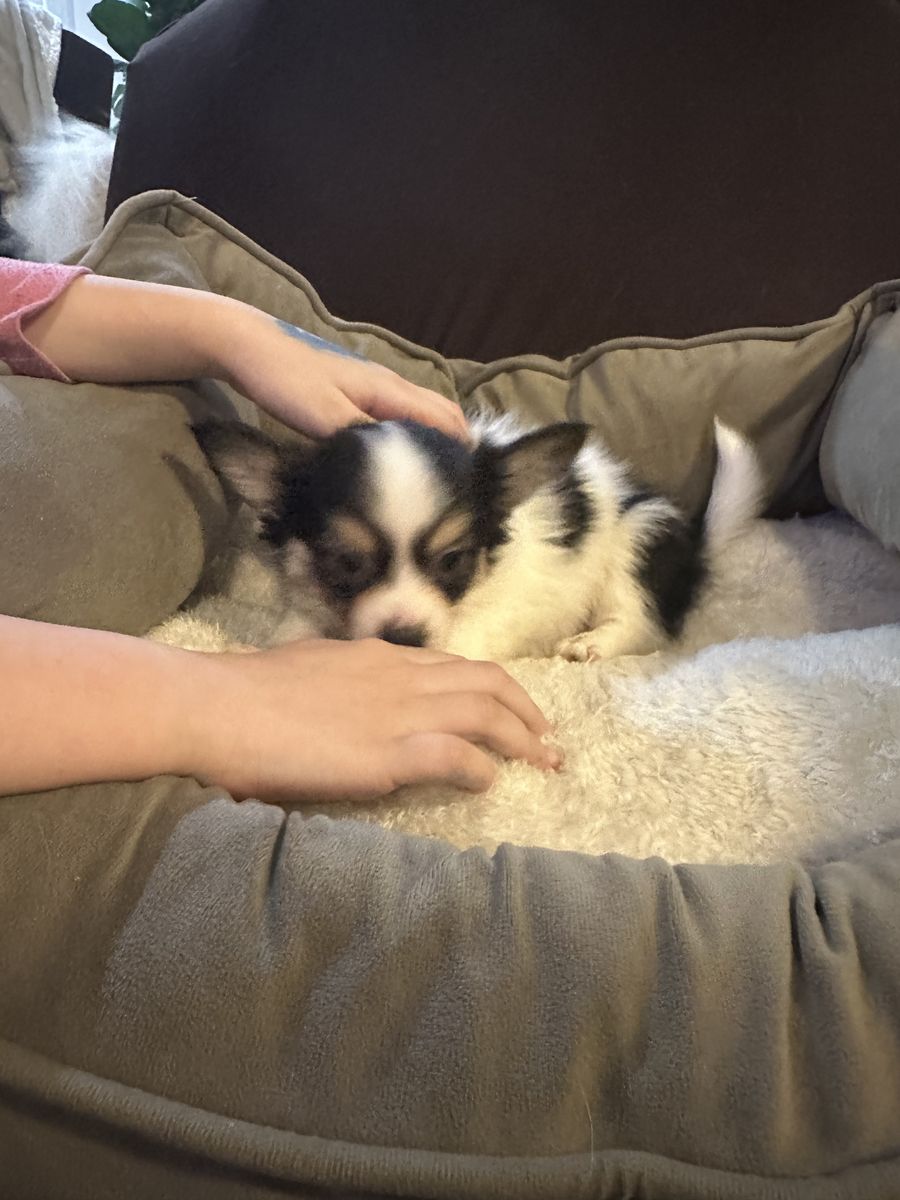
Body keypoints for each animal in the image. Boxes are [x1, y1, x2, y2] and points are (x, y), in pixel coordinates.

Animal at [195, 411, 762, 661]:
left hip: (641, 535)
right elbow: (297, 629)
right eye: (345, 564)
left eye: (453, 561)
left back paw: (593, 643)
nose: (404, 639)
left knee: (642, 622)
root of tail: (695, 547)